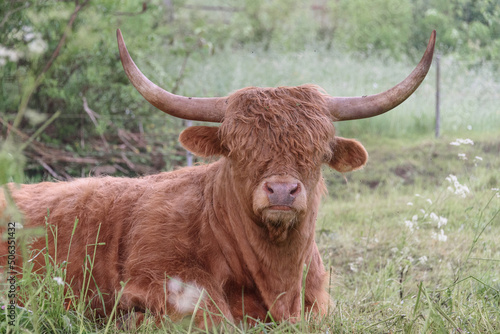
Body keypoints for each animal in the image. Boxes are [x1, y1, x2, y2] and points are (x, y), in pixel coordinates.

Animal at [0, 30, 436, 328]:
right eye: (238, 150)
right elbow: (214, 316)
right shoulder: (156, 278)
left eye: (317, 151)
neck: (277, 276)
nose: (281, 190)